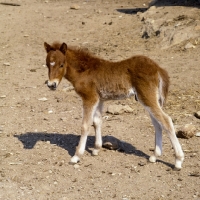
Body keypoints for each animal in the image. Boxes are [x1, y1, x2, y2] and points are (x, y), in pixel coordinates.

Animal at [43, 41, 184, 170]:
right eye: (47, 64)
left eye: (62, 64)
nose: (51, 85)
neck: (84, 70)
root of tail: (158, 68)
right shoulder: (99, 99)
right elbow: (97, 122)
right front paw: (96, 149)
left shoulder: (89, 98)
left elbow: (85, 125)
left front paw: (76, 156)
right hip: (149, 100)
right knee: (157, 124)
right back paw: (154, 156)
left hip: (147, 98)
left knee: (166, 120)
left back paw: (178, 161)